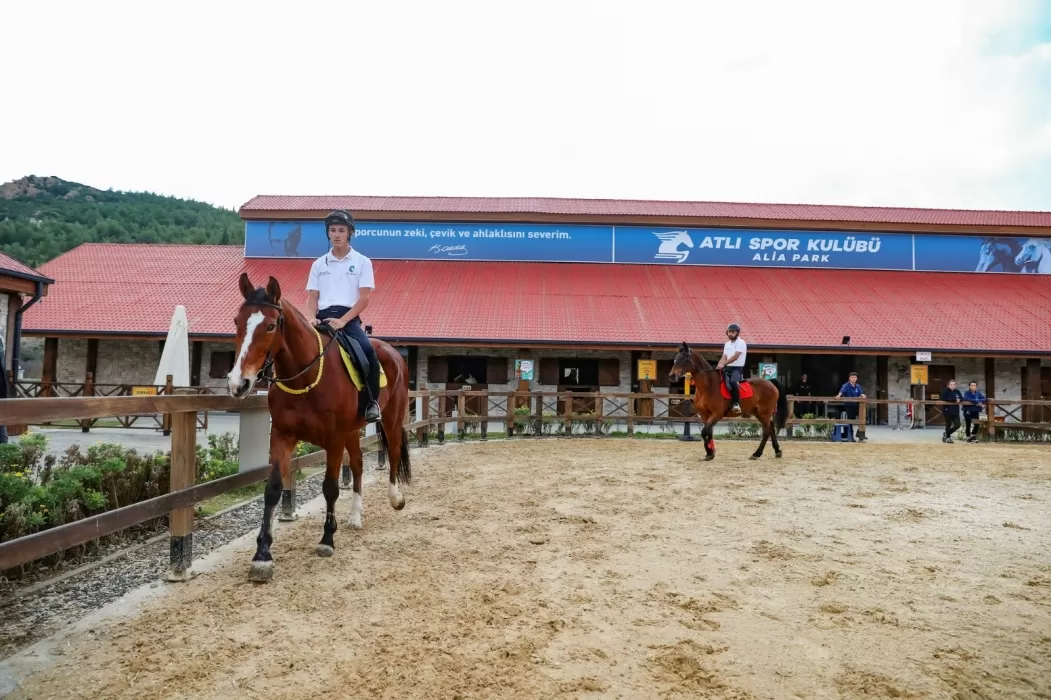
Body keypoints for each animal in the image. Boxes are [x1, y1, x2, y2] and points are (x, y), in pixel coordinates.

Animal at [228, 271, 411, 575]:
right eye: (236, 322)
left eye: (270, 326)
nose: (238, 383)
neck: (305, 375)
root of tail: (393, 352)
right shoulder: (282, 436)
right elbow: (273, 489)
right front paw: (262, 555)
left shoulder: (334, 440)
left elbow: (330, 487)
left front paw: (327, 539)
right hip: (353, 430)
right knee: (358, 465)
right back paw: (355, 516)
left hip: (392, 418)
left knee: (394, 452)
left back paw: (396, 499)